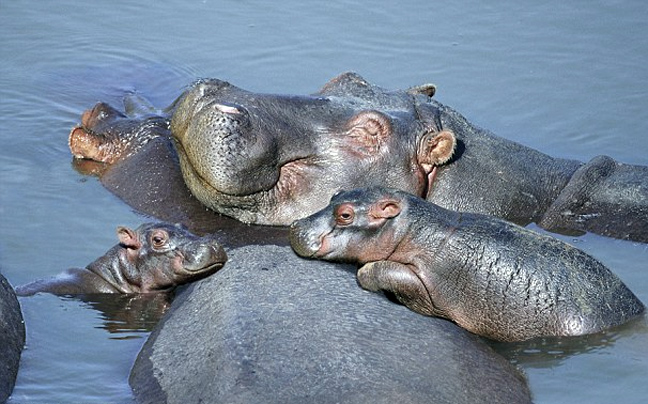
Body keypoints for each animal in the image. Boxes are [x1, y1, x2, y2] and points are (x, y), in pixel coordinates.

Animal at [290, 188, 644, 342]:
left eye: (345, 214)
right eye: (335, 194)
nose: (295, 226)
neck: (412, 228)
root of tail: (636, 310)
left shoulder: (426, 284)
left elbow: (383, 270)